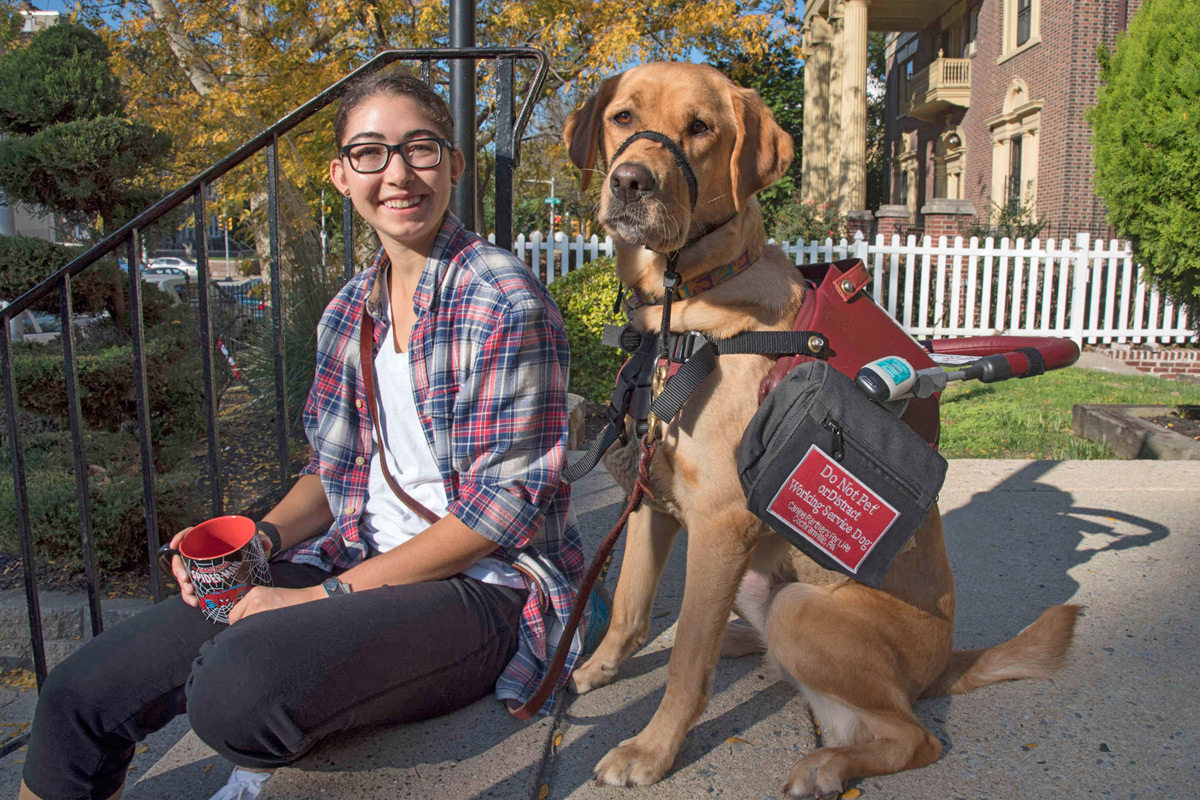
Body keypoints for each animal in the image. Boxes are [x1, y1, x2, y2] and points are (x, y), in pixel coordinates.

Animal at [561, 64, 1080, 800]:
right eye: (623, 117)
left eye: (701, 128)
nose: (632, 182)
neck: (682, 312)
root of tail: (947, 661)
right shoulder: (651, 500)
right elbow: (633, 610)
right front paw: (596, 670)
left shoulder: (718, 521)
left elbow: (685, 664)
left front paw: (651, 751)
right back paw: (746, 649)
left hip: (802, 609)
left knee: (914, 736)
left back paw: (826, 764)